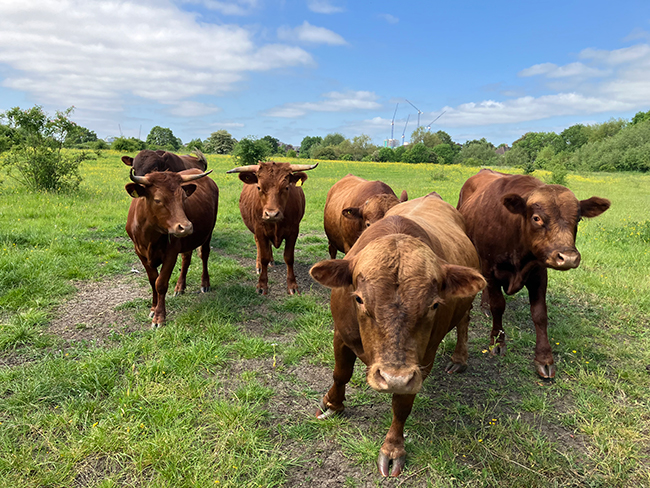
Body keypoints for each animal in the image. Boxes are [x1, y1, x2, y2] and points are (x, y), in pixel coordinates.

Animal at [125, 168, 219, 327]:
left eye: (184, 198)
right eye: (158, 200)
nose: (186, 227)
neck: (149, 235)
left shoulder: (171, 253)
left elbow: (161, 283)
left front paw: (159, 317)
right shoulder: (140, 252)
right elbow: (153, 281)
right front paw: (153, 308)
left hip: (208, 232)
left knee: (204, 255)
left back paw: (205, 283)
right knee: (186, 258)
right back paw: (180, 287)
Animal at [226, 161, 318, 295]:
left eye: (286, 187)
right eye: (259, 187)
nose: (272, 214)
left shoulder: (293, 232)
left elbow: (289, 258)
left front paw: (292, 285)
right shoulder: (260, 230)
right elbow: (263, 256)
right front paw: (262, 285)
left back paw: (271, 260)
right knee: (259, 246)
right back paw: (259, 266)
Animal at [310, 193, 486, 477]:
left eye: (434, 305)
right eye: (359, 299)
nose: (394, 378)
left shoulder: (422, 361)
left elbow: (402, 404)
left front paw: (393, 448)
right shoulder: (341, 334)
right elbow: (341, 373)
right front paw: (332, 404)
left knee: (464, 323)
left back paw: (459, 359)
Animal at [456, 169, 610, 378]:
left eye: (578, 219)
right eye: (536, 218)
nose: (568, 258)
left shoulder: (539, 273)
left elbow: (540, 314)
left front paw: (544, 359)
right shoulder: (489, 268)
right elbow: (498, 305)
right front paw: (497, 341)